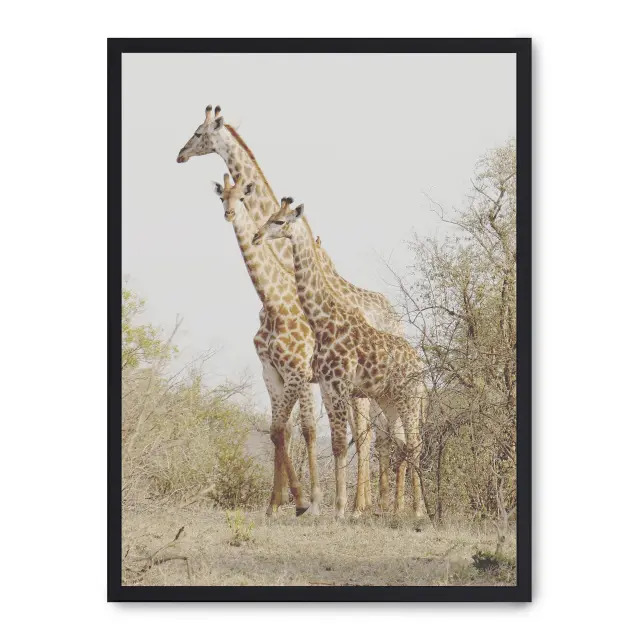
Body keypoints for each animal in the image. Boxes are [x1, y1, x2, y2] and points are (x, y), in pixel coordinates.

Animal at [177, 105, 402, 513]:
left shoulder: (303, 370)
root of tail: (397, 318)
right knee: (370, 436)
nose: (180, 155)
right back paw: (367, 502)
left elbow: (306, 429)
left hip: (365, 387)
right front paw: (288, 500)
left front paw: (310, 501)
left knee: (369, 435)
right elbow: (288, 430)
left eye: (200, 133)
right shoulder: (286, 372)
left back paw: (364, 504)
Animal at [253, 201, 426, 520]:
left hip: (409, 399)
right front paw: (334, 507)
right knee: (402, 444)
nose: (257, 235)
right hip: (389, 400)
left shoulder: (340, 383)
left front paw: (341, 509)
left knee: (414, 444)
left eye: (279, 221)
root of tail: (422, 367)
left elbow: (342, 443)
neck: (324, 321)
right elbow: (335, 444)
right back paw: (400, 509)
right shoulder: (327, 385)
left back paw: (418, 510)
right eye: (269, 217)